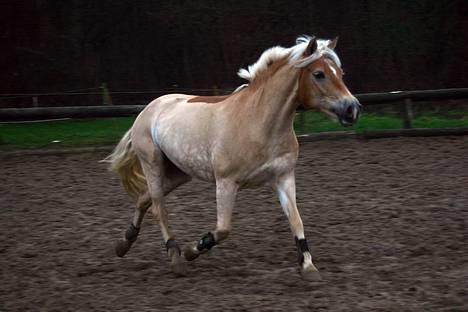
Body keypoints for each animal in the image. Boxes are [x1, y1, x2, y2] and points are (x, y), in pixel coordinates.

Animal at [104, 34, 362, 280]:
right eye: (319, 74)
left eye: (340, 73)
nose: (353, 109)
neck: (258, 123)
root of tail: (148, 109)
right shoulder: (226, 182)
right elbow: (223, 229)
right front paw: (191, 251)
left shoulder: (284, 177)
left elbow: (296, 220)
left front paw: (309, 267)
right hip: (153, 164)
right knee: (159, 209)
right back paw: (176, 258)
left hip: (179, 173)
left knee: (143, 199)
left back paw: (123, 244)